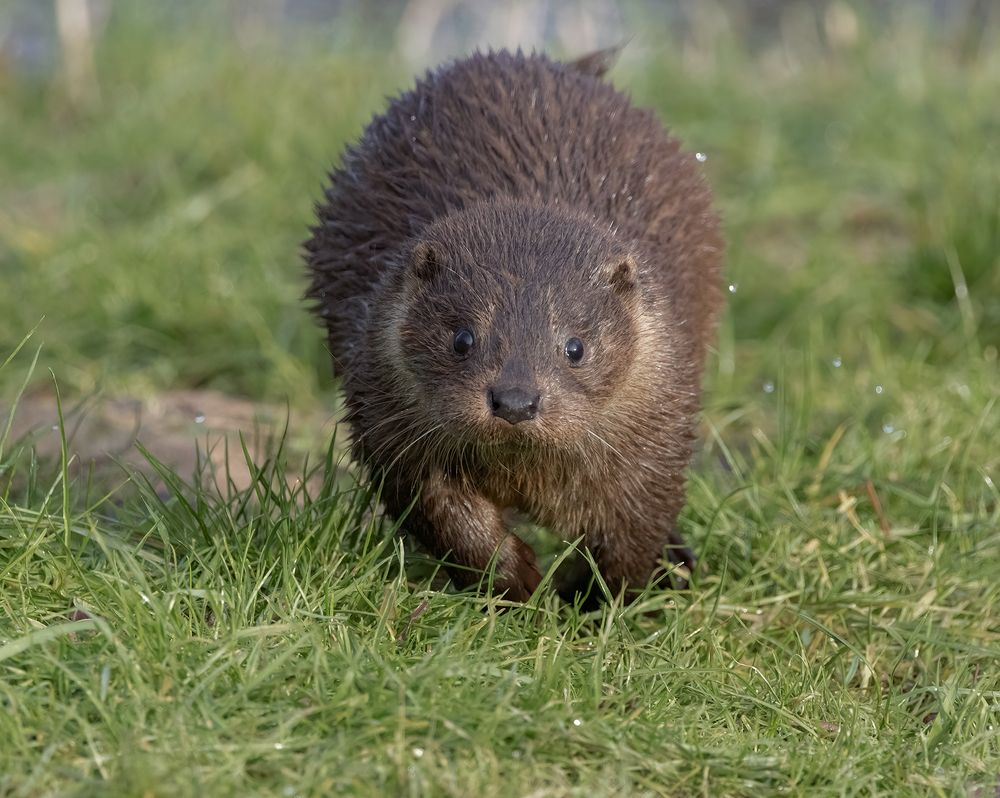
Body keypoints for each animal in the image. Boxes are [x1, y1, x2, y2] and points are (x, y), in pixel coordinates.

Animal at [305, 48, 722, 603]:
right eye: (462, 338)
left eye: (575, 346)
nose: (516, 401)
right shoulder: (387, 419)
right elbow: (444, 515)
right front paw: (515, 581)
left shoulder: (657, 433)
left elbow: (632, 534)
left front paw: (599, 601)